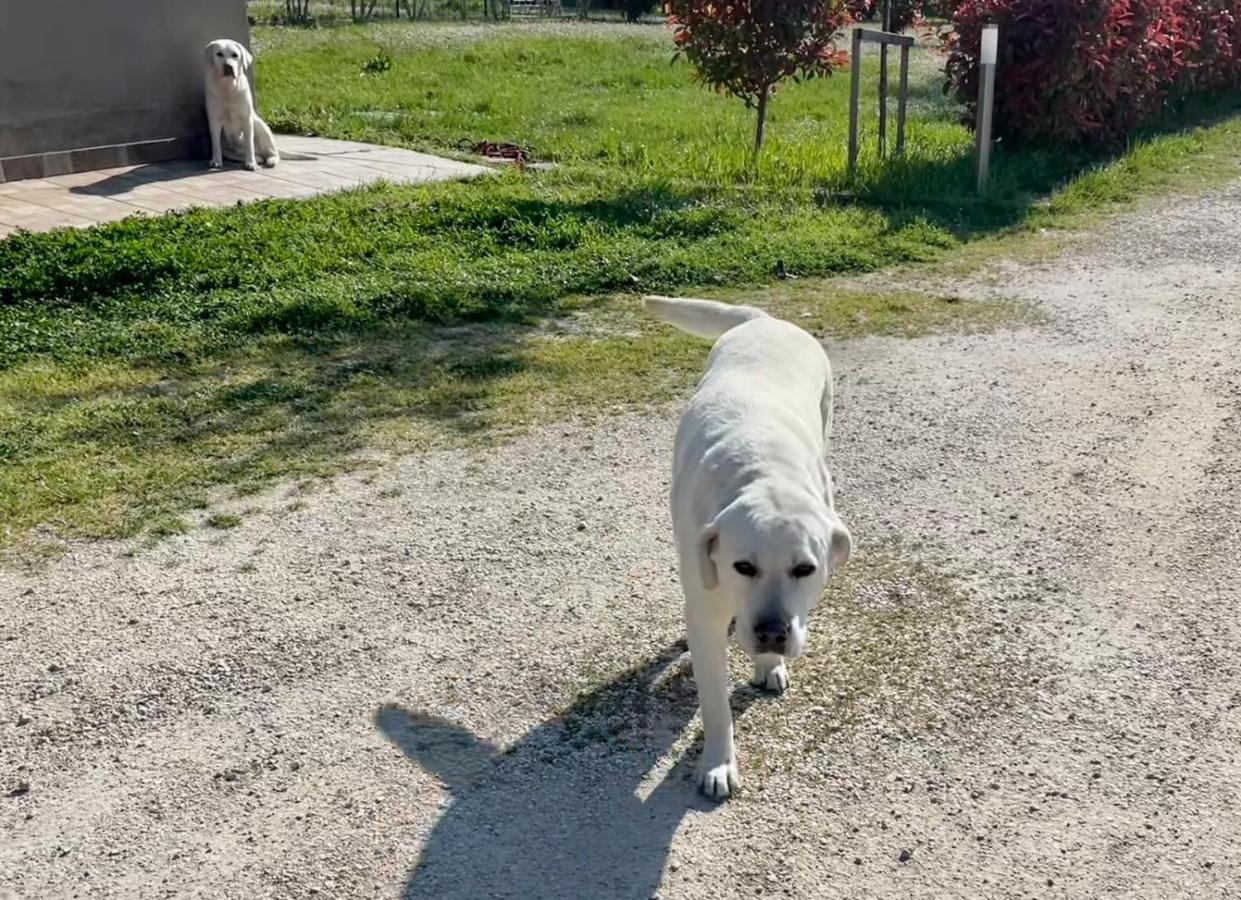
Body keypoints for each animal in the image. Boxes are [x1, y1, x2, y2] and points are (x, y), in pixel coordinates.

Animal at [202, 37, 280, 170]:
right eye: (219, 54)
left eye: (235, 55)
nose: (228, 66)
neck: (227, 87)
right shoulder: (214, 120)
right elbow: (215, 143)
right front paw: (216, 161)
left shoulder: (246, 119)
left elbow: (249, 144)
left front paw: (251, 163)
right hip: (229, 149)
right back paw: (257, 158)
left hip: (260, 126)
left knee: (272, 153)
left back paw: (270, 160)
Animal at [640, 296, 853, 799]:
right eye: (742, 566)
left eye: (805, 569)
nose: (773, 633)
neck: (763, 472)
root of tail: (765, 320)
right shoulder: (706, 611)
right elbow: (715, 704)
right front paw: (718, 764)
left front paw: (769, 662)